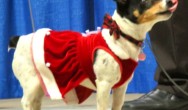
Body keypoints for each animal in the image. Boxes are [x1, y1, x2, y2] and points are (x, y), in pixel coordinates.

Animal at [10, 0, 178, 109]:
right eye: (144, 1)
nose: (171, 1)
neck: (122, 35)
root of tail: (20, 39)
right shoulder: (104, 85)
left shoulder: (121, 88)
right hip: (32, 83)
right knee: (26, 102)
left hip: (40, 85)